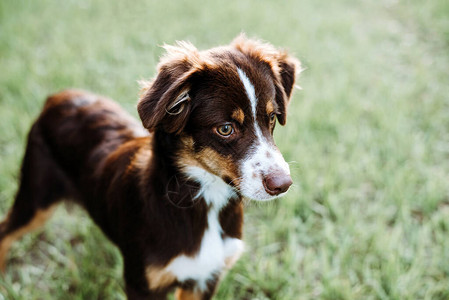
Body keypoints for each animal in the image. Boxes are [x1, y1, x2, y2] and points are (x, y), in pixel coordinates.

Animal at [0, 35, 300, 300]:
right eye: (225, 128)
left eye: (271, 118)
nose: (283, 185)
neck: (205, 201)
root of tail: (57, 97)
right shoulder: (143, 284)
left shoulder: (205, 278)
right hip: (35, 197)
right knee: (6, 231)